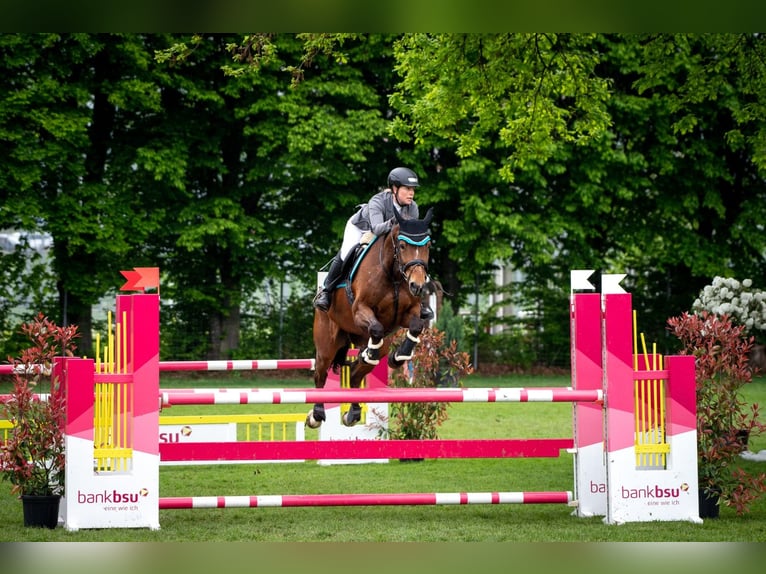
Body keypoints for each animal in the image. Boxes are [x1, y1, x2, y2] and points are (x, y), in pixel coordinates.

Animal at [308, 209, 438, 430]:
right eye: (402, 246)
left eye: (427, 245)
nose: (417, 286)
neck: (394, 275)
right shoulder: (361, 310)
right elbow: (376, 328)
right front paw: (372, 352)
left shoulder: (409, 313)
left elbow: (416, 325)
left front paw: (399, 356)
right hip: (327, 344)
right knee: (321, 374)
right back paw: (316, 415)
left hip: (377, 344)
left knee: (355, 374)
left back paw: (353, 412)